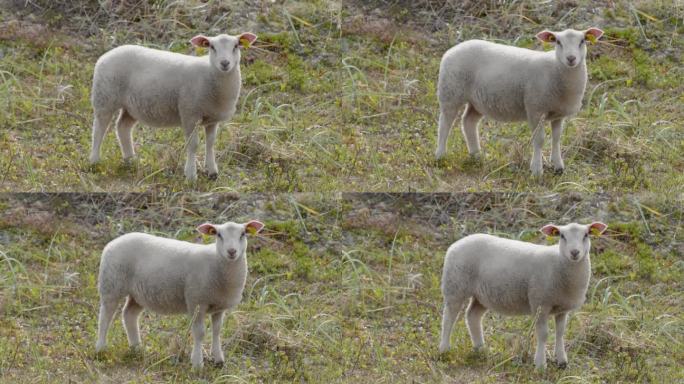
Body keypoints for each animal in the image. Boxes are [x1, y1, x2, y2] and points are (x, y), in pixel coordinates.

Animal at [86, 31, 256, 180]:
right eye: (212, 47)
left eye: (236, 46)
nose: (225, 63)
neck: (210, 75)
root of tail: (106, 55)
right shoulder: (189, 113)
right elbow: (193, 144)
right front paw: (191, 175)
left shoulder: (212, 118)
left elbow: (211, 143)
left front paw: (212, 172)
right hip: (105, 97)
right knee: (99, 129)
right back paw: (94, 161)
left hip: (132, 106)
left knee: (123, 127)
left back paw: (130, 160)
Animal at [95, 219, 264, 368]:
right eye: (218, 235)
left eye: (243, 234)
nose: (232, 251)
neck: (216, 263)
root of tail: (113, 242)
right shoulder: (196, 301)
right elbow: (200, 333)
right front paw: (197, 363)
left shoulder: (219, 306)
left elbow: (217, 331)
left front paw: (218, 360)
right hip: (111, 284)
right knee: (105, 317)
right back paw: (101, 348)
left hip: (138, 293)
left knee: (129, 314)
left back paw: (136, 348)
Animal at [432, 27, 604, 175]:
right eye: (558, 42)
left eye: (582, 41)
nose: (571, 58)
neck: (556, 69)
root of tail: (452, 49)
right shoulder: (535, 108)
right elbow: (539, 140)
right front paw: (537, 170)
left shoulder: (558, 113)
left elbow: (556, 138)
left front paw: (558, 166)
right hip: (451, 92)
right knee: (445, 124)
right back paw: (440, 155)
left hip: (477, 101)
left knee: (468, 121)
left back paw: (476, 155)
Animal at [438, 222, 608, 368]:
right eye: (562, 236)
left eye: (586, 235)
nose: (574, 252)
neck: (559, 263)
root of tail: (456, 244)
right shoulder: (540, 303)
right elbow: (543, 334)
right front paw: (540, 364)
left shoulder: (562, 308)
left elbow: (560, 333)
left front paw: (562, 361)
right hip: (455, 286)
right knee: (449, 318)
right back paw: (444, 349)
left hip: (483, 295)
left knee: (472, 316)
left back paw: (480, 348)